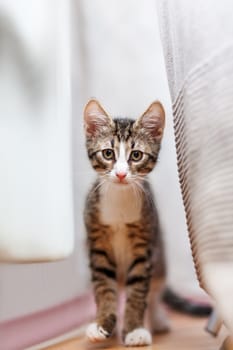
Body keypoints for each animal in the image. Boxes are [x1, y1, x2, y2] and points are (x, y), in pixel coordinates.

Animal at [83, 100, 168, 346]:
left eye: (136, 155)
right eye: (108, 153)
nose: (121, 174)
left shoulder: (145, 246)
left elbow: (138, 292)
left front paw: (134, 329)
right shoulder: (97, 245)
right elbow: (104, 289)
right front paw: (102, 323)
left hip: (160, 259)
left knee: (155, 292)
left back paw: (156, 319)